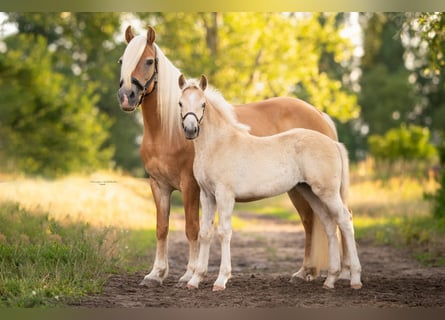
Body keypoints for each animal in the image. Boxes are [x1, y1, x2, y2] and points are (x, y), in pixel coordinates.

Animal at [116, 26, 342, 286]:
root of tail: (319, 114)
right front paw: (156, 274)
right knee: (312, 222)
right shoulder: (158, 185)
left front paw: (189, 274)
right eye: (121, 60)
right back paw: (308, 271)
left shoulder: (190, 186)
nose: (127, 96)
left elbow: (192, 228)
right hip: (300, 188)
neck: (167, 129)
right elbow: (162, 227)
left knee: (316, 222)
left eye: (149, 61)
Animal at [177, 75, 360, 290]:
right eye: (180, 103)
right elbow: (205, 233)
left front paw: (221, 280)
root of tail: (334, 143)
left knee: (345, 219)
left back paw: (355, 279)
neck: (219, 145)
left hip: (327, 192)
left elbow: (224, 232)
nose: (191, 130)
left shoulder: (225, 195)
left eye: (203, 104)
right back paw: (330, 279)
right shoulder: (207, 196)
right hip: (311, 192)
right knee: (329, 224)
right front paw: (195, 280)